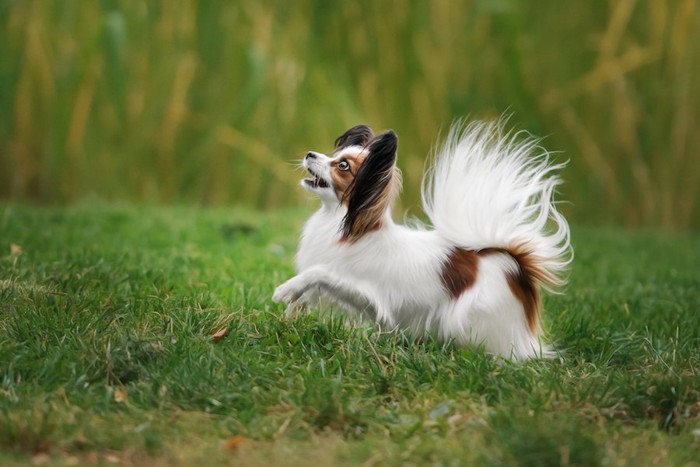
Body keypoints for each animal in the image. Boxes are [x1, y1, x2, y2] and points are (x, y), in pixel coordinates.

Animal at [270, 121, 572, 362]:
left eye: (342, 166)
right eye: (336, 156)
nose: (310, 154)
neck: (344, 227)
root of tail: (515, 265)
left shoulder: (366, 293)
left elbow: (318, 274)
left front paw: (284, 290)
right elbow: (309, 291)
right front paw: (288, 316)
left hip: (469, 319)